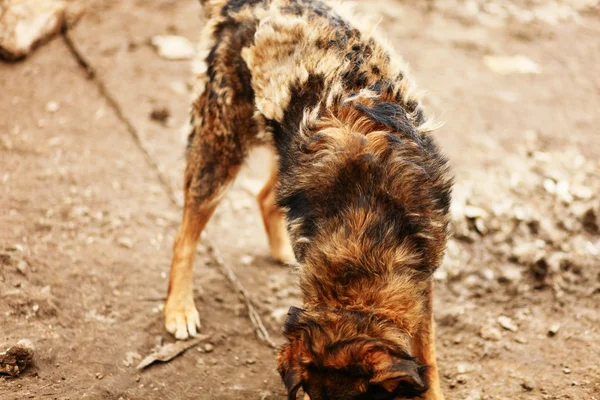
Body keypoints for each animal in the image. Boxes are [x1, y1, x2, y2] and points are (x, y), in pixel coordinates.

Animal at [164, 0, 450, 400]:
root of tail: (240, 6)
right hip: (221, 147)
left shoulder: (424, 281)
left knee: (265, 196)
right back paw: (179, 309)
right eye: (310, 397)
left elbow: (428, 355)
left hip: (285, 153)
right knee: (185, 236)